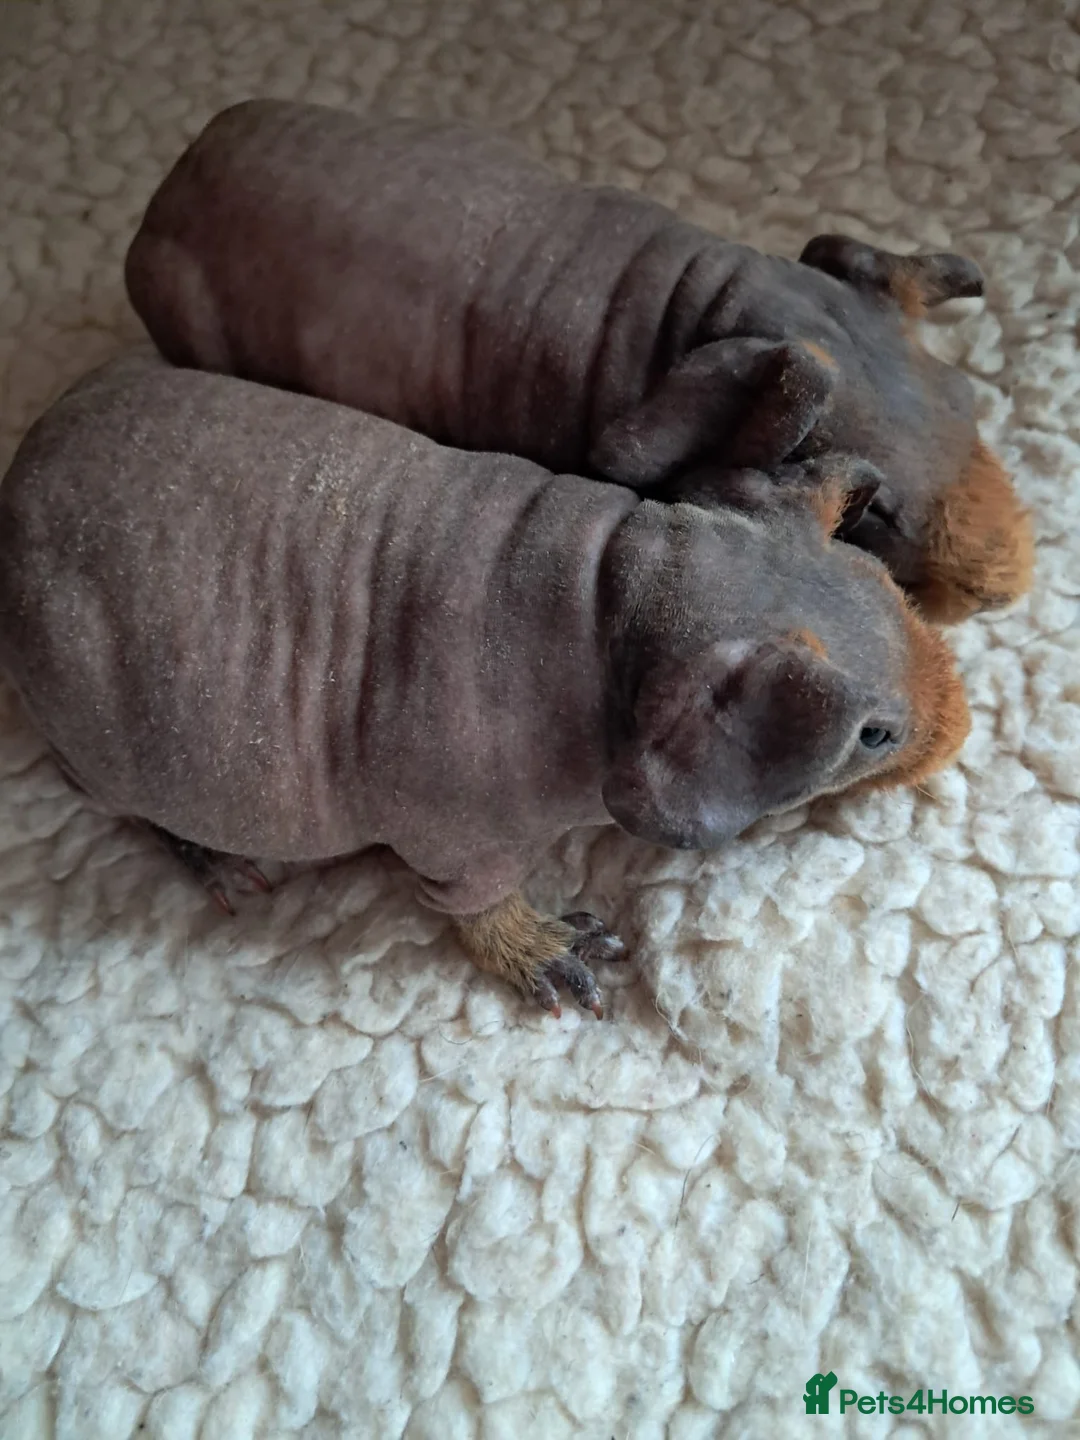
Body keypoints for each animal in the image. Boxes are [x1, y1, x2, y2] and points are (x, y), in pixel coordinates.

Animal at [0, 352, 970, 1017]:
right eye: (873, 736)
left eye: (891, 587)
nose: (961, 730)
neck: (609, 596)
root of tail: (19, 476)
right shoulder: (455, 837)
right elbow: (477, 905)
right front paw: (545, 950)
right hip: (98, 739)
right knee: (111, 799)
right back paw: (218, 859)